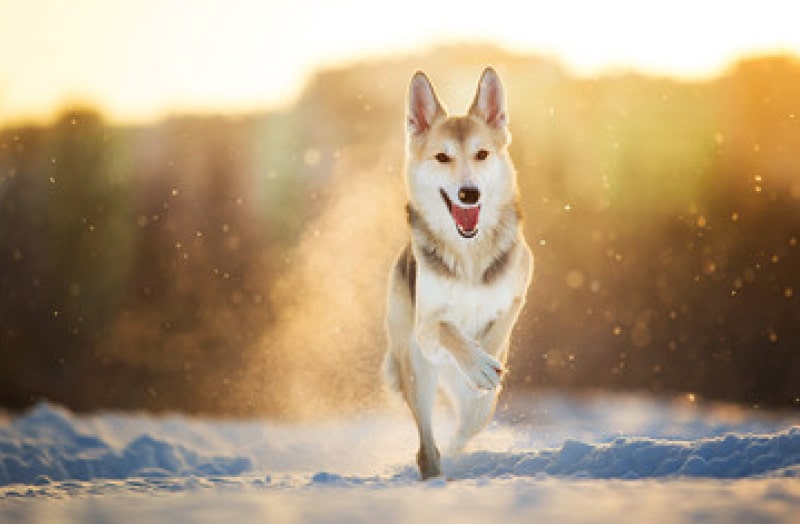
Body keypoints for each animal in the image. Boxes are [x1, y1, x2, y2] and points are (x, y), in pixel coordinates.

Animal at [382, 67, 532, 482]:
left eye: (481, 154)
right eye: (442, 157)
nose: (469, 194)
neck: (469, 252)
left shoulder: (518, 292)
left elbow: (498, 331)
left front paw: (486, 362)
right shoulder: (427, 327)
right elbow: (449, 329)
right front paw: (477, 362)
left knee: (468, 424)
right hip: (416, 368)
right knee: (428, 446)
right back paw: (435, 475)